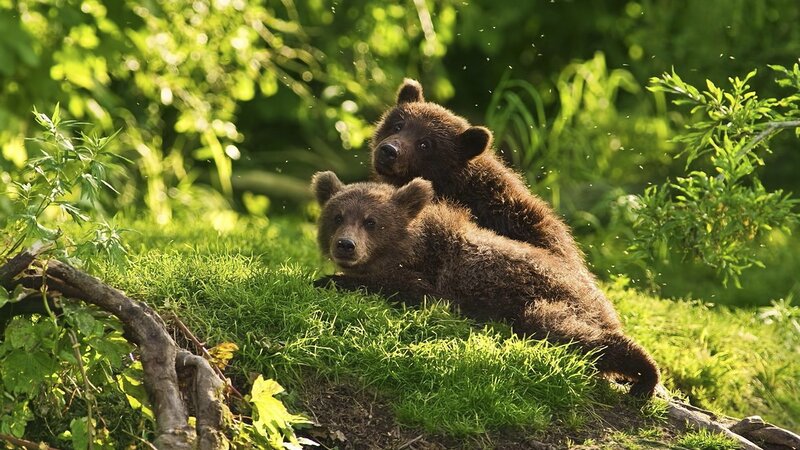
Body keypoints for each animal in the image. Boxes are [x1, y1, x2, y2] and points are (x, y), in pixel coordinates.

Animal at [311, 171, 661, 397]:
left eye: (371, 221)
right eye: (337, 216)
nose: (345, 245)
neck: (411, 247)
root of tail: (602, 301)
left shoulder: (434, 280)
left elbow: (404, 288)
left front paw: (327, 279)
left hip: (552, 300)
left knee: (567, 330)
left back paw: (645, 374)